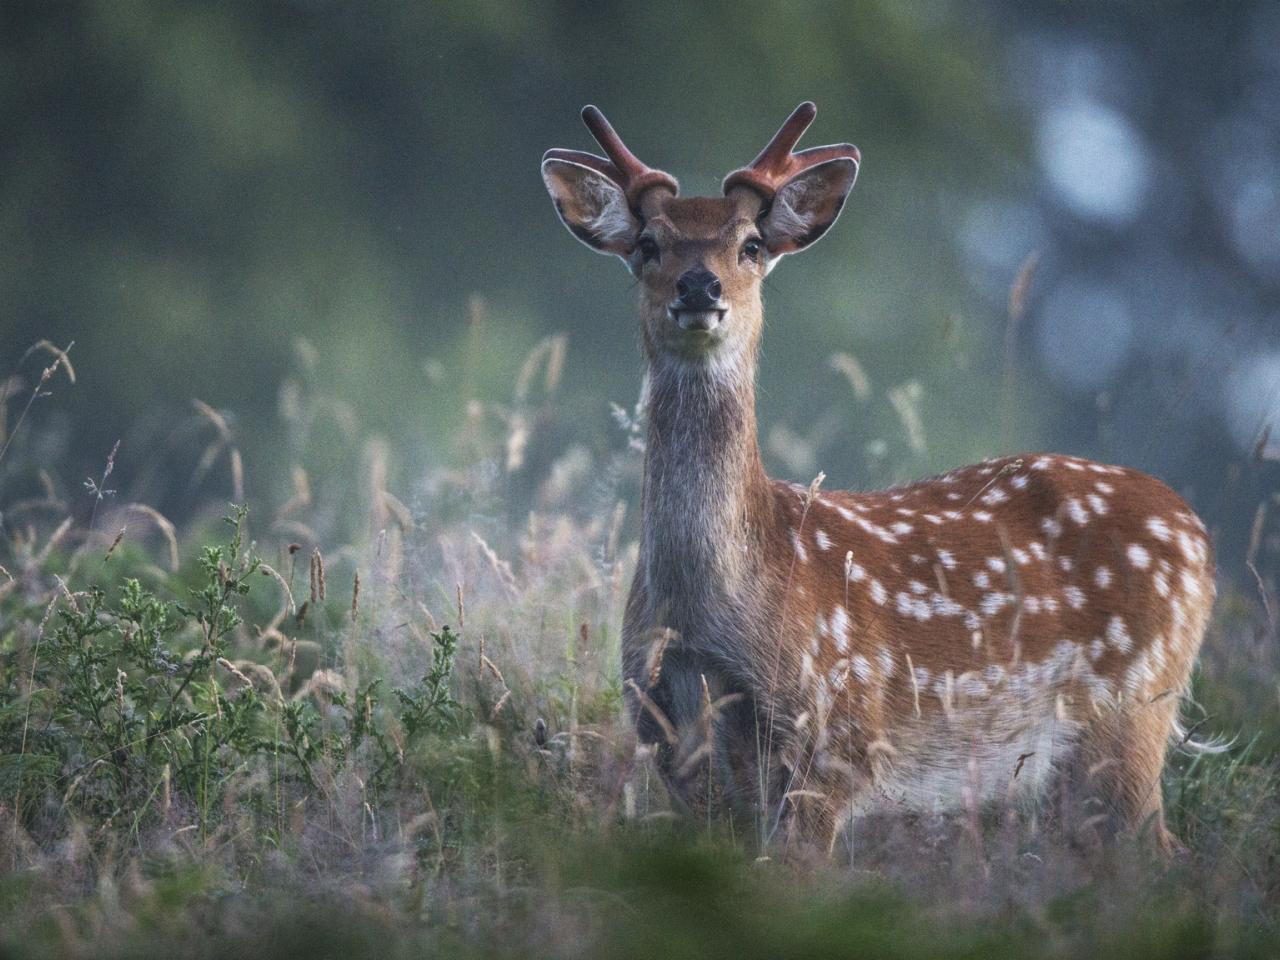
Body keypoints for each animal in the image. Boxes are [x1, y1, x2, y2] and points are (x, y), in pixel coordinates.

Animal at [540, 104, 1218, 855]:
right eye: (649, 244)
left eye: (750, 245)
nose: (699, 286)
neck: (707, 613)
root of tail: (1193, 528)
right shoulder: (670, 740)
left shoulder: (835, 736)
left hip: (1135, 705)